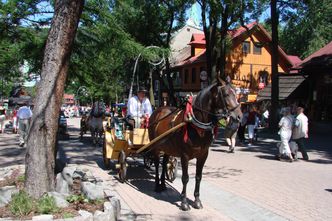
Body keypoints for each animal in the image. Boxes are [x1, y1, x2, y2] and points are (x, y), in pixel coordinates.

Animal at [149, 78, 243, 210]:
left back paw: (163, 184)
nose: (239, 116)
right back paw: (157, 185)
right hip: (156, 147)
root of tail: (157, 111)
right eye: (226, 94)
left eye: (236, 93)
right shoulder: (184, 155)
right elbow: (185, 178)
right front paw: (184, 202)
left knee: (165, 163)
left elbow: (198, 177)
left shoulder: (203, 155)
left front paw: (197, 200)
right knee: (157, 164)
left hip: (167, 148)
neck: (196, 125)